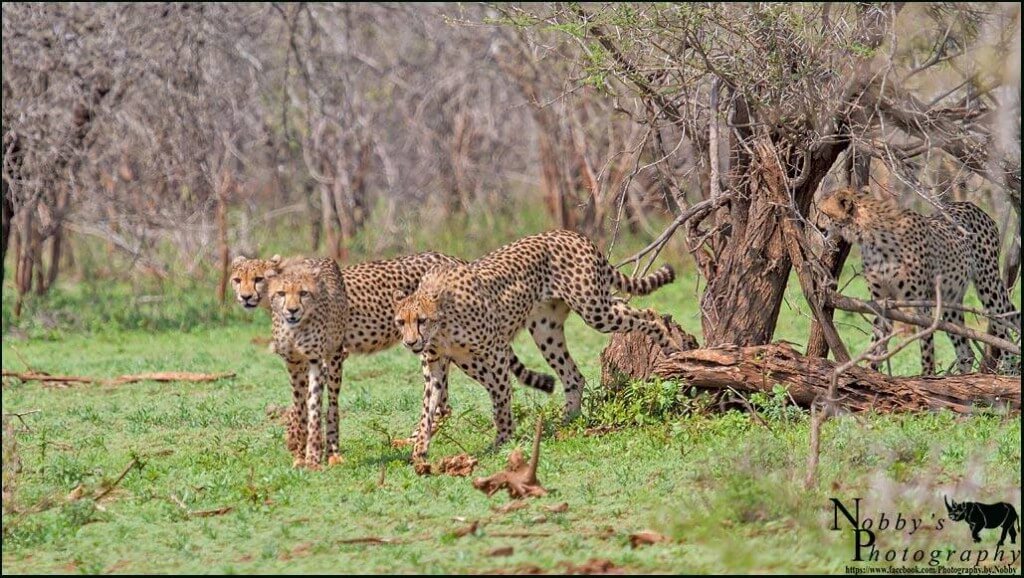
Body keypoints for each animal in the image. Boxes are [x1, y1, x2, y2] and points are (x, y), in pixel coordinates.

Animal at [231, 252, 556, 461]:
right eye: (237, 279)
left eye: (258, 278)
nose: (245, 297)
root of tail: (452, 258)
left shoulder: (334, 353)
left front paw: (306, 444)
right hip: (457, 353)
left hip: (434, 349)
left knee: (447, 400)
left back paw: (414, 440)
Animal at [393, 229, 680, 461]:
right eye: (400, 322)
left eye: (421, 320)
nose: (410, 342)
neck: (442, 326)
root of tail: (571, 233)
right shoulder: (437, 364)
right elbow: (427, 408)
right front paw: (419, 450)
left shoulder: (496, 353)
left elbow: (500, 398)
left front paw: (502, 440)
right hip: (546, 331)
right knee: (574, 375)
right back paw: (566, 422)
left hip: (595, 311)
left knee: (646, 314)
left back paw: (671, 344)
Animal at [818, 186, 1020, 374]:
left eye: (823, 212)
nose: (817, 226)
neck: (870, 236)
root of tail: (972, 205)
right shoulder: (882, 300)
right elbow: (877, 342)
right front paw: (871, 373)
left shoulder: (920, 301)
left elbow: (926, 347)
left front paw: (927, 378)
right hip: (950, 297)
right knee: (966, 351)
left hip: (988, 285)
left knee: (1006, 335)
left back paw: (1007, 374)